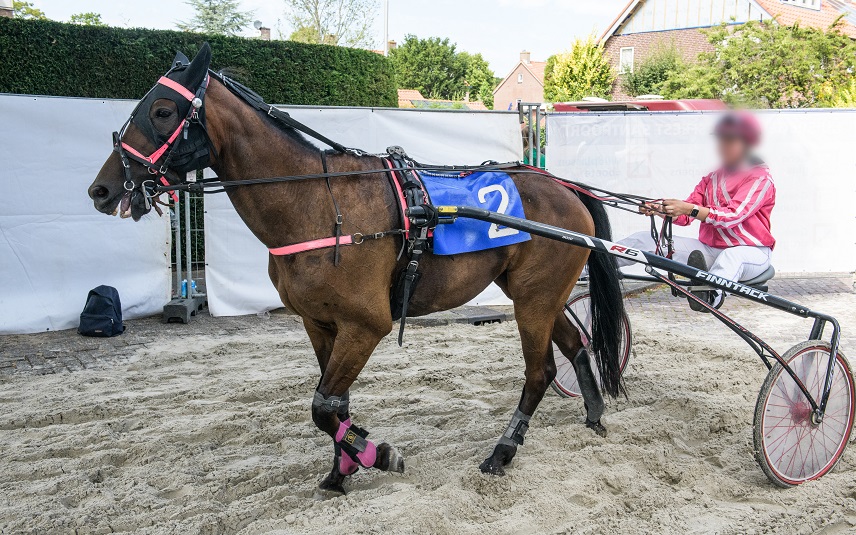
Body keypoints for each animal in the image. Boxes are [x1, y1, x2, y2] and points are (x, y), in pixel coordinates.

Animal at [87, 44, 624, 496]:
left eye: (162, 111)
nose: (102, 189)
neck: (315, 202)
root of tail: (565, 187)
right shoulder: (320, 323)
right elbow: (335, 407)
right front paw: (340, 469)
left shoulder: (365, 325)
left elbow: (323, 406)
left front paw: (377, 454)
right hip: (537, 294)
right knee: (575, 345)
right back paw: (594, 412)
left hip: (534, 299)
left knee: (539, 371)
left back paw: (502, 451)